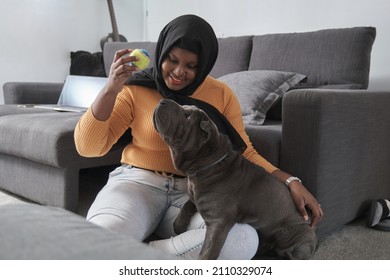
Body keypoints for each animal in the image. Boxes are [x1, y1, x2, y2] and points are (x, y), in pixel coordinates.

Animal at [152, 99, 316, 260]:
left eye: (187, 116)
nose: (162, 101)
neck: (209, 164)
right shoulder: (195, 198)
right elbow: (187, 205)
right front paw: (178, 225)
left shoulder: (218, 223)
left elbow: (207, 252)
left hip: (293, 236)